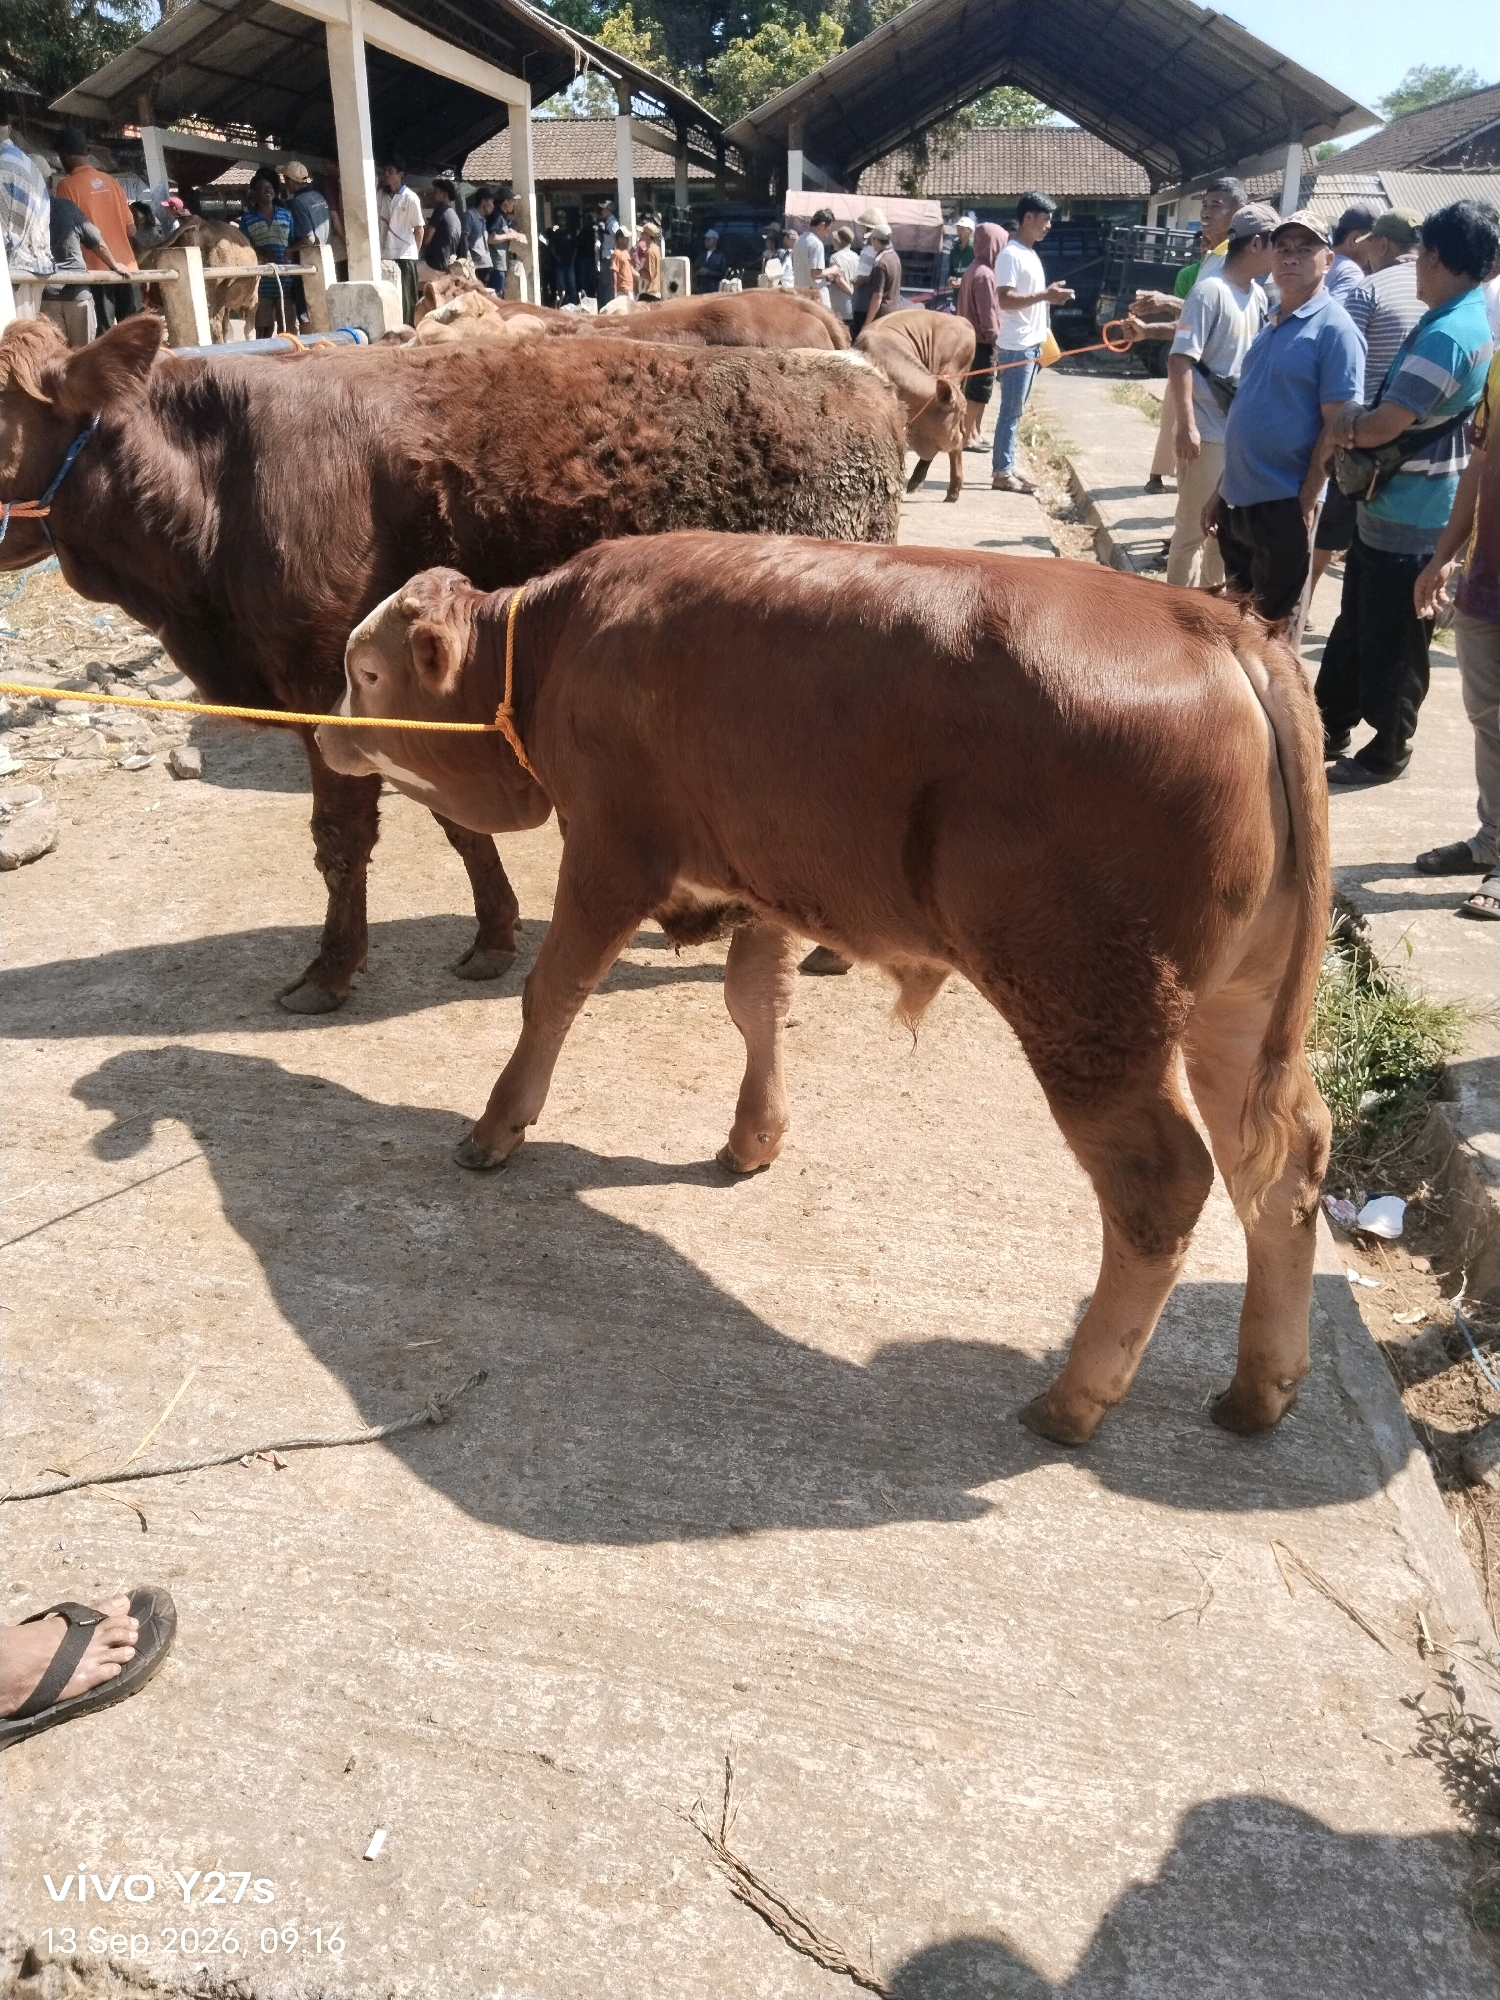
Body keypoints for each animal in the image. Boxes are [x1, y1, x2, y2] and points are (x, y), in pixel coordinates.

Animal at [0, 316, 904, 1012]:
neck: (223, 487)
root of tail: (849, 370)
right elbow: (457, 821)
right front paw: (493, 937)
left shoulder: (318, 685)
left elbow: (340, 838)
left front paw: (328, 971)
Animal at [316, 535, 1332, 1446]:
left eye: (364, 673)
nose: (322, 735)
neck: (561, 642)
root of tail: (1217, 623)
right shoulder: (764, 877)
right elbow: (753, 1003)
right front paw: (753, 1136)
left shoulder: (611, 849)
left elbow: (555, 990)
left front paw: (497, 1126)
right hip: (1232, 1009)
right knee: (1286, 1160)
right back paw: (1260, 1389)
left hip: (1091, 1009)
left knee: (1163, 1182)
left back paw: (1075, 1399)